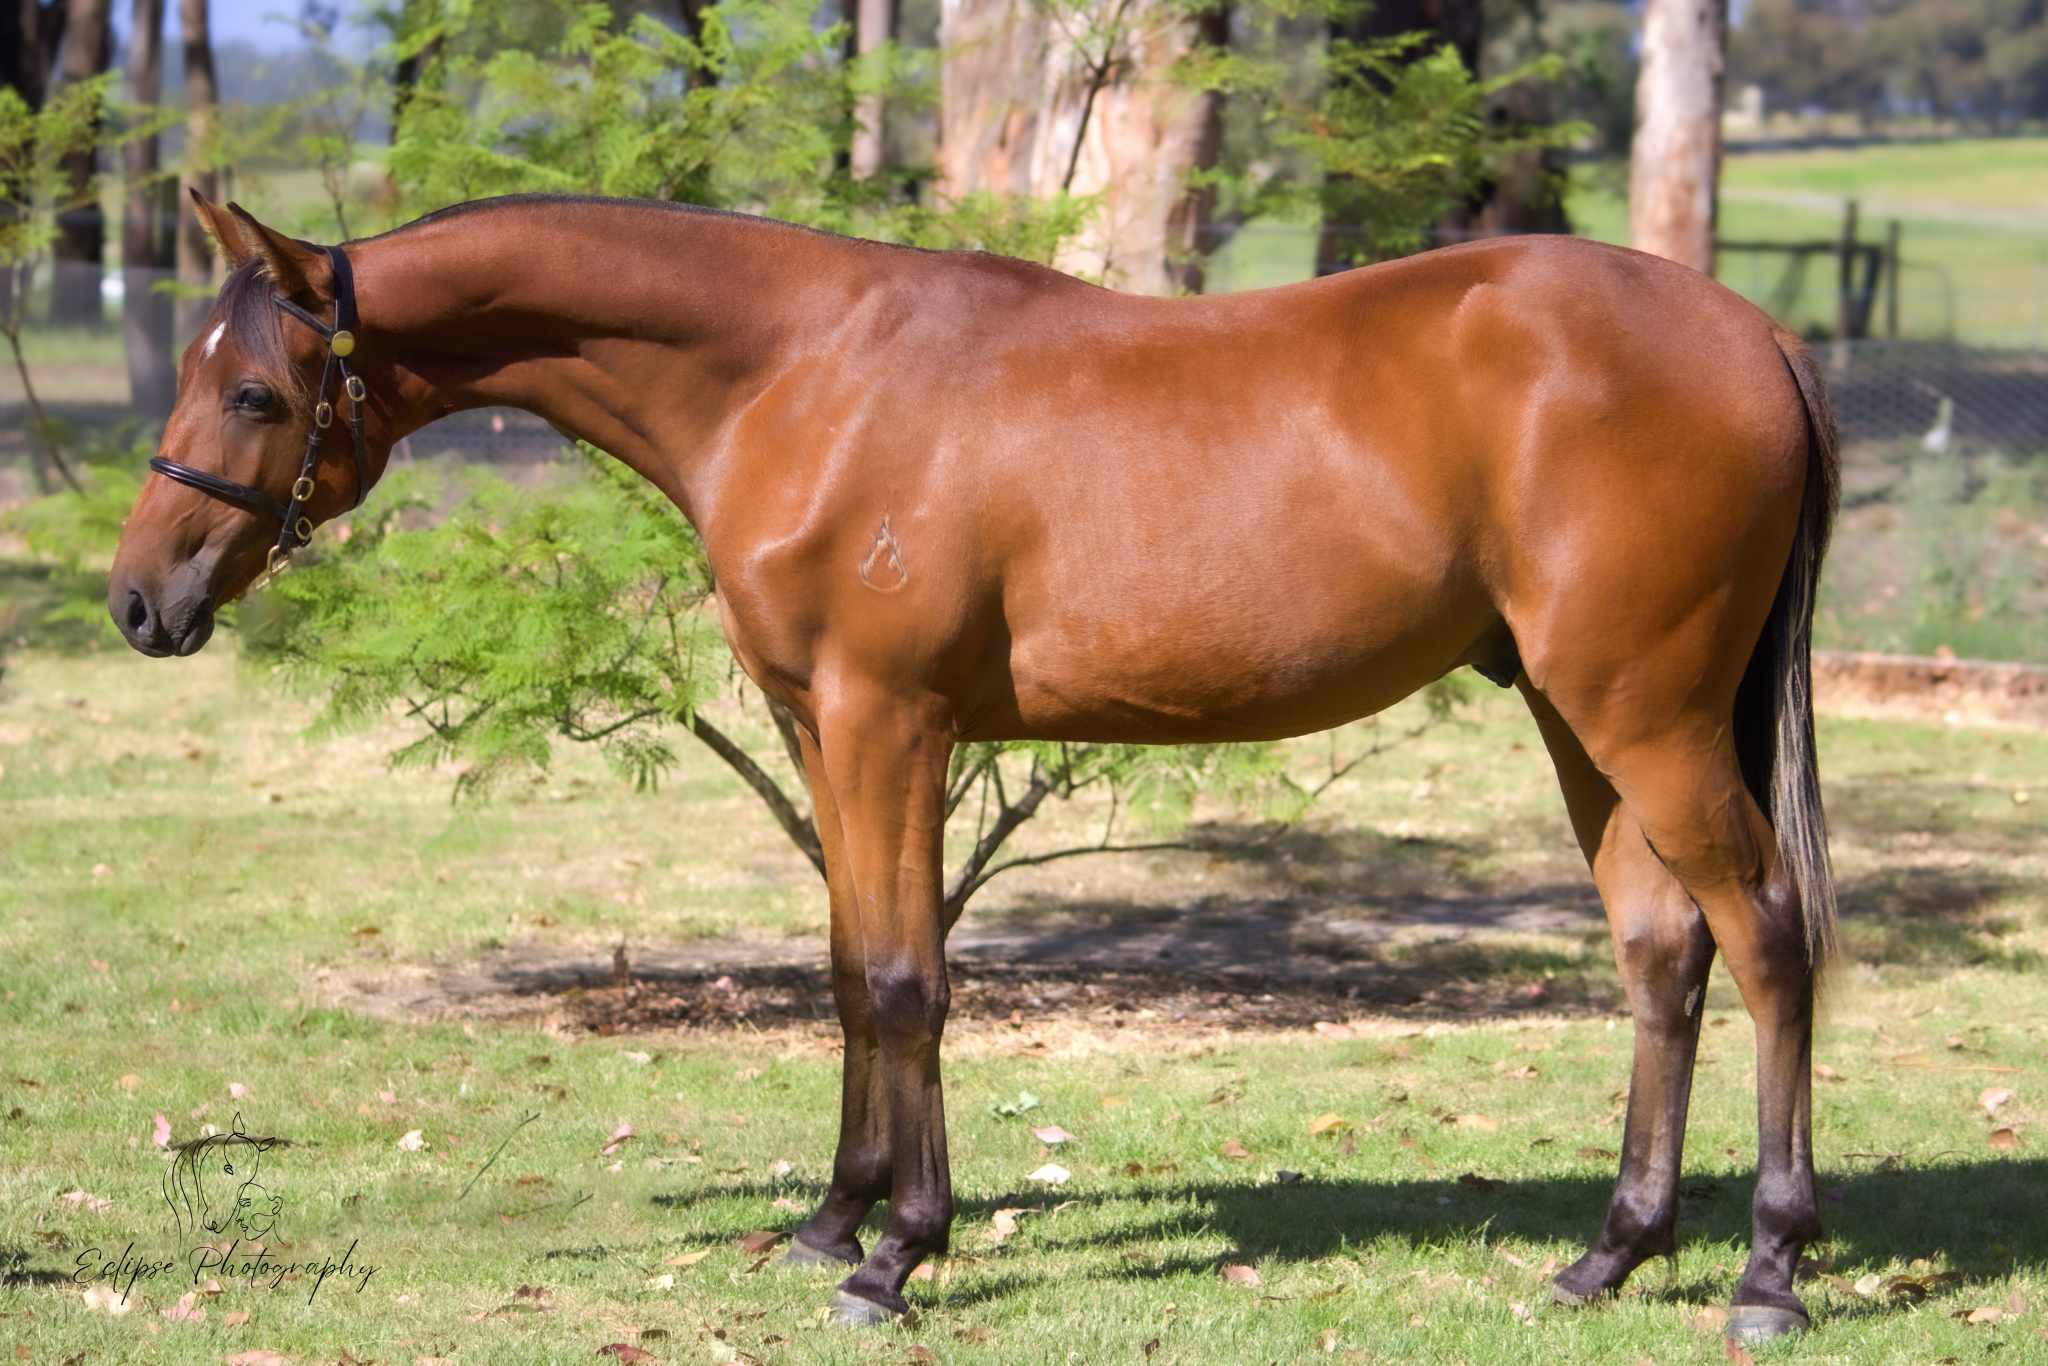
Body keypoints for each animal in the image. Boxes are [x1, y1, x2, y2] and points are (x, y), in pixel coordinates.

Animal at [111, 190, 1839, 1344]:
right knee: (1661, 949)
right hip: (1579, 711)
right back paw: (1612, 1253)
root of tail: (1752, 328)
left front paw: (901, 1253)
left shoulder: (891, 720)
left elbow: (905, 976)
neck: (799, 371)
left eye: (257, 389)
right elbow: (850, 964)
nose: (140, 600)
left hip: (1644, 710)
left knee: (1766, 936)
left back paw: (1767, 1267)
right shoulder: (821, 725)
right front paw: (832, 1220)